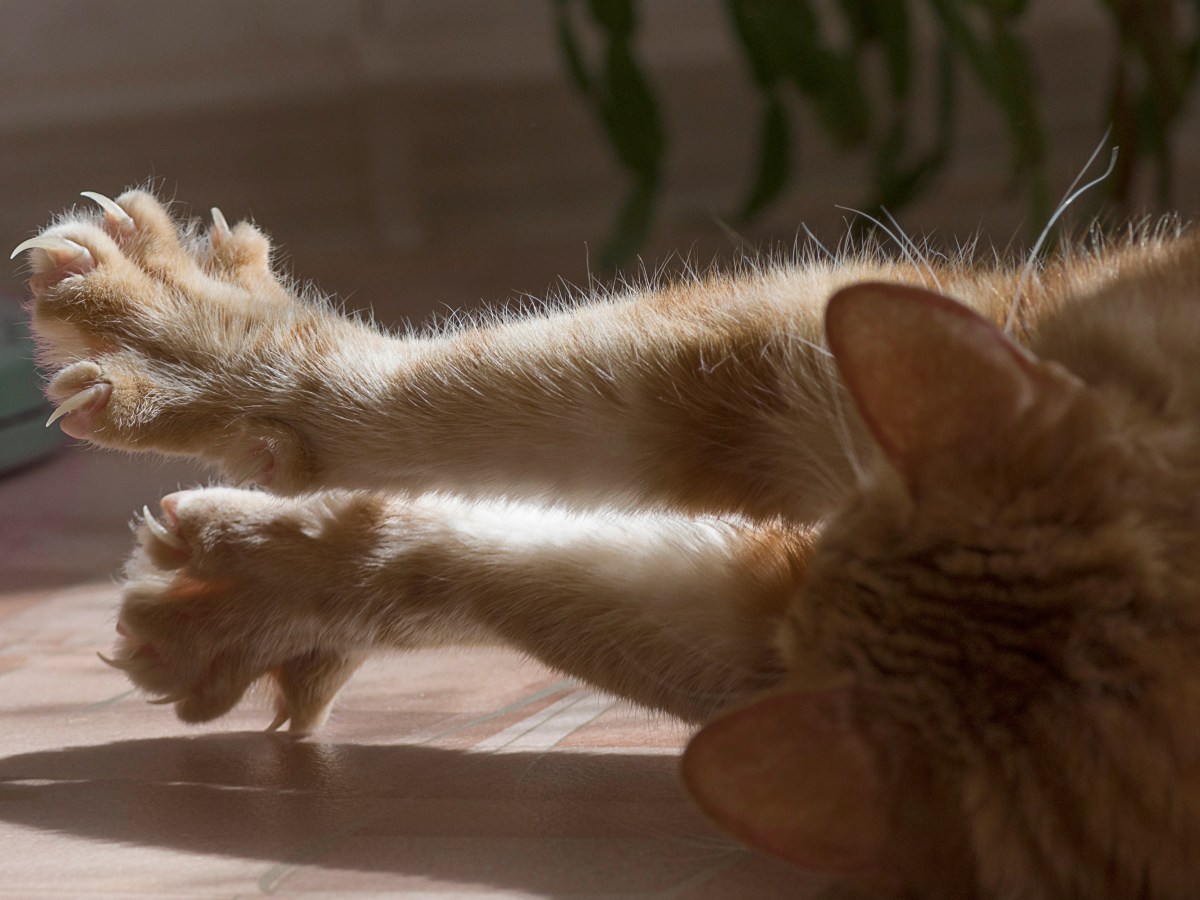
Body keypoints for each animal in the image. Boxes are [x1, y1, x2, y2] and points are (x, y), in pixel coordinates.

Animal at [16, 187, 1200, 897]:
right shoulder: (809, 379)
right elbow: (467, 396)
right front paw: (199, 354)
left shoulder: (778, 653)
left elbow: (526, 572)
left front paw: (264, 579)